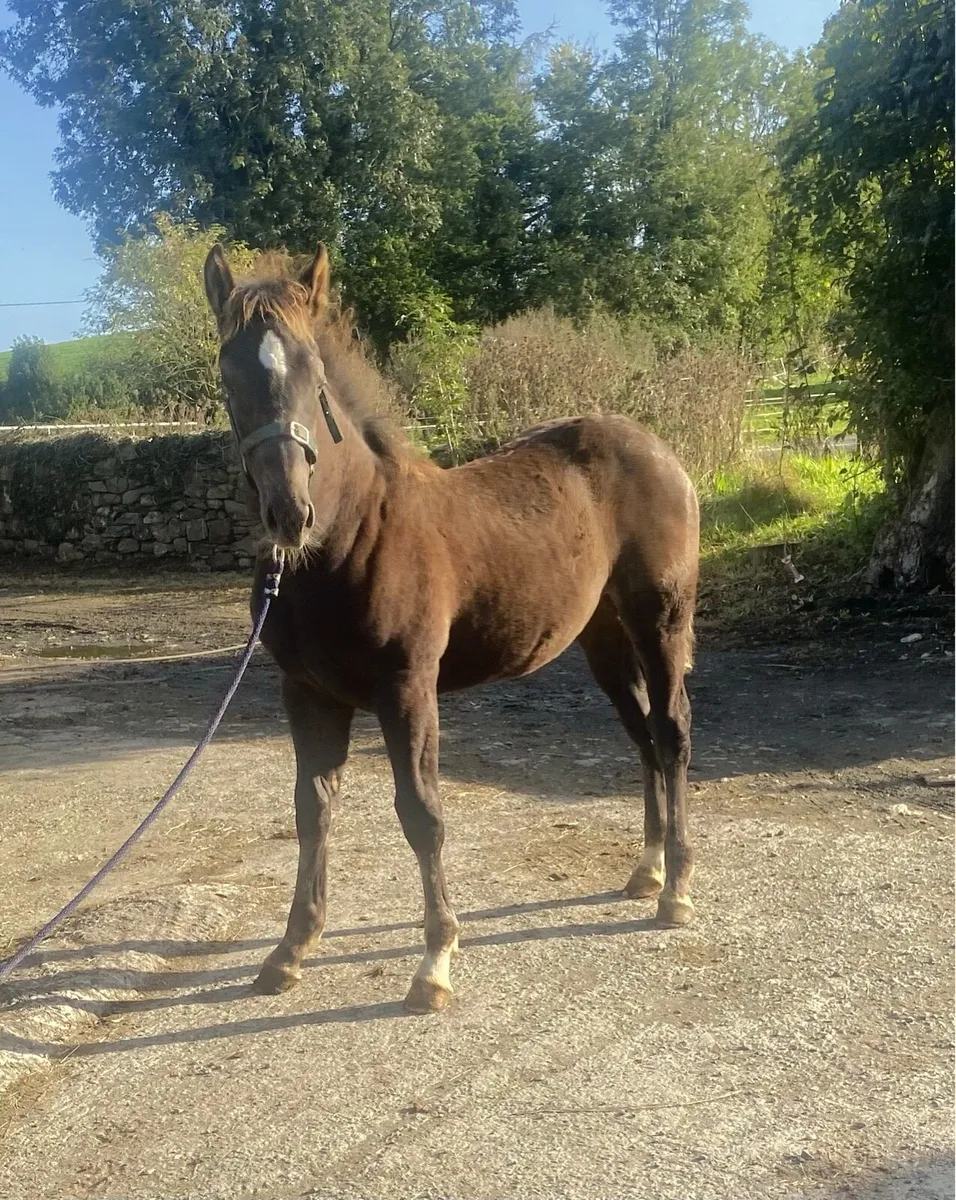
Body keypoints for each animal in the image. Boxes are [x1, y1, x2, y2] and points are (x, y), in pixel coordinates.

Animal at [203, 244, 700, 1014]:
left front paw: (435, 961)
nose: (289, 513)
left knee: (671, 731)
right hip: (603, 640)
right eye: (230, 374)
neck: (345, 543)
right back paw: (645, 872)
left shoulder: (408, 689)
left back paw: (674, 889)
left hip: (661, 620)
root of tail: (656, 446)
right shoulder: (306, 693)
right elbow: (312, 809)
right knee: (643, 734)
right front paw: (290, 950)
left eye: (313, 371)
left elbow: (421, 813)